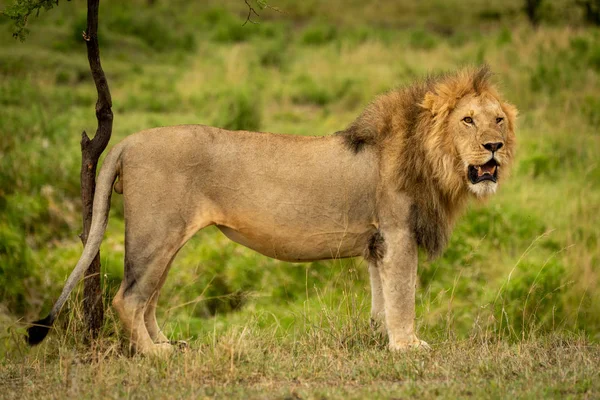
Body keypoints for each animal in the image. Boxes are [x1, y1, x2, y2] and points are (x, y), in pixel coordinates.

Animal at [27, 64, 516, 354]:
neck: (435, 160)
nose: (495, 147)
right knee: (127, 299)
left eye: (499, 119)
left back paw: (168, 345)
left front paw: (380, 339)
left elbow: (381, 297)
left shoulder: (379, 242)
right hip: (157, 233)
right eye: (467, 120)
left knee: (146, 299)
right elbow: (403, 295)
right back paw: (154, 356)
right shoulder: (398, 232)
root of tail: (127, 140)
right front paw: (408, 346)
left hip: (165, 238)